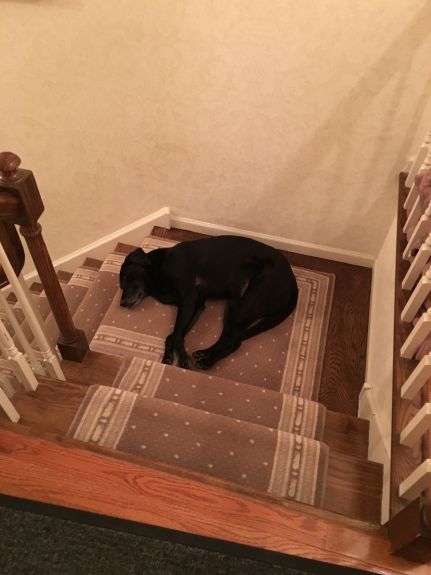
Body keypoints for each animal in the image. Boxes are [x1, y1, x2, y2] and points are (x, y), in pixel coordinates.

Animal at [120, 236, 298, 372]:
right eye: (121, 285)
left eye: (128, 278)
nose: (122, 303)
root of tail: (294, 284)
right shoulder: (196, 305)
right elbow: (174, 334)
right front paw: (168, 355)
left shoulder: (189, 299)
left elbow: (177, 334)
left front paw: (183, 358)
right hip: (233, 304)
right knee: (227, 336)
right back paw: (205, 354)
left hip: (248, 304)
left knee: (235, 341)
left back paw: (208, 361)